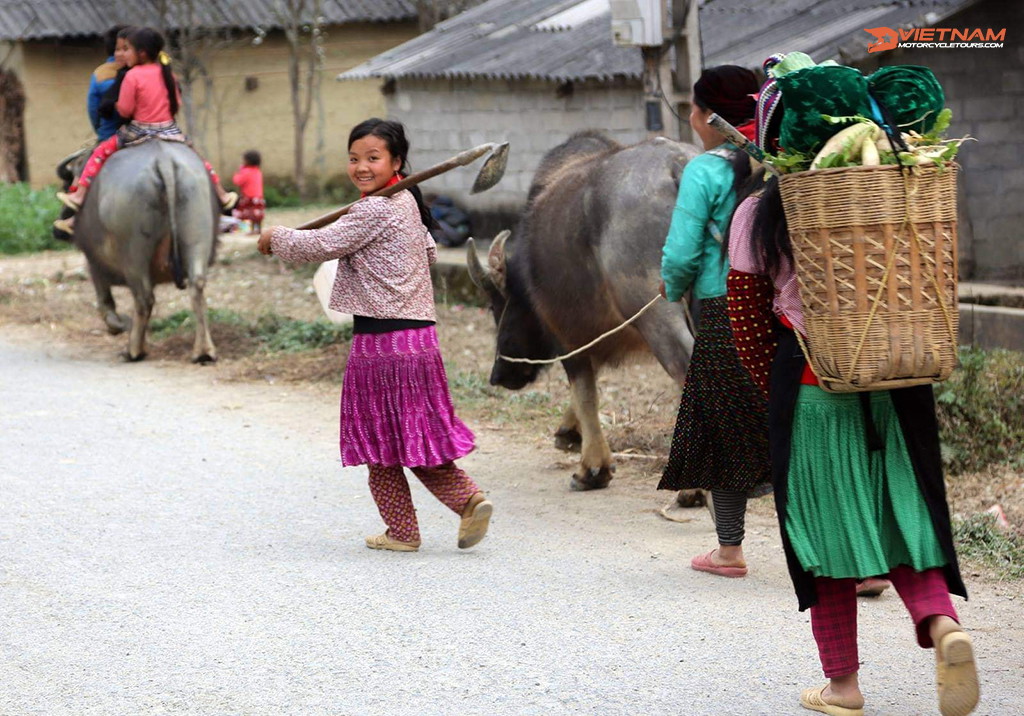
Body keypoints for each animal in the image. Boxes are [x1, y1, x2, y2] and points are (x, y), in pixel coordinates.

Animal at [55, 141, 218, 364]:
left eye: (67, 186)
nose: (58, 230)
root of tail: (163, 160)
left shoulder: (93, 259)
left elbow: (104, 299)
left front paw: (117, 324)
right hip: (196, 228)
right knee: (197, 287)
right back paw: (203, 351)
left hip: (133, 255)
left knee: (144, 298)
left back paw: (133, 350)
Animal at [468, 132, 700, 489]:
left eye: (497, 305)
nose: (499, 375)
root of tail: (677, 165)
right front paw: (568, 432)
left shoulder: (566, 334)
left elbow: (584, 389)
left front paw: (592, 468)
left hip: (657, 311)